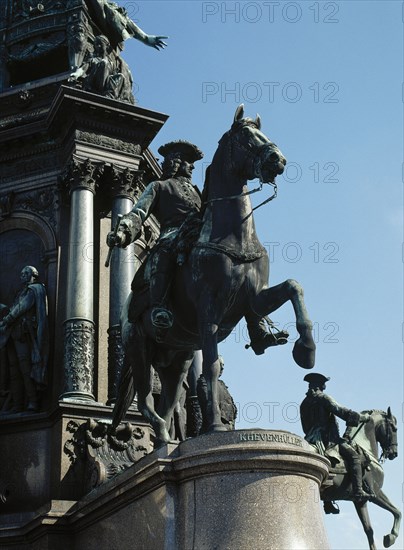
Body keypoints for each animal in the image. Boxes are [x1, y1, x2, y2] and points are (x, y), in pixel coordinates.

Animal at [110, 104, 316, 448]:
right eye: (245, 137)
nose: (278, 159)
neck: (233, 235)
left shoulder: (253, 301)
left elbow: (293, 287)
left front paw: (306, 349)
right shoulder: (209, 312)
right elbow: (210, 368)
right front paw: (216, 428)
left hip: (177, 359)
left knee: (169, 400)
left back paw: (168, 441)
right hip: (139, 348)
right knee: (146, 397)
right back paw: (161, 438)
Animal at [322, 410, 400, 550]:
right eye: (393, 428)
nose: (394, 453)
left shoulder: (360, 500)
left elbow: (369, 530)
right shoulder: (375, 493)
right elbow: (397, 511)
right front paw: (391, 537)